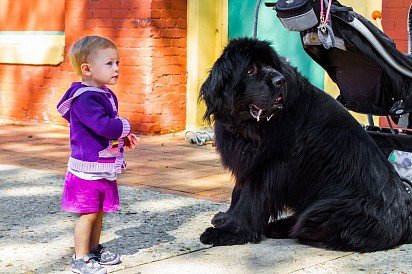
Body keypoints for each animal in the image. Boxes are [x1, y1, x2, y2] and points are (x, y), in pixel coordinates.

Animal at [198, 38, 410, 253]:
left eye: (272, 66)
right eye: (250, 70)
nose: (280, 80)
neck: (249, 124)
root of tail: (405, 222)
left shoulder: (267, 166)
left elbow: (249, 200)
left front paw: (230, 231)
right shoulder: (249, 162)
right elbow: (237, 192)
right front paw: (226, 218)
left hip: (325, 211)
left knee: (307, 224)